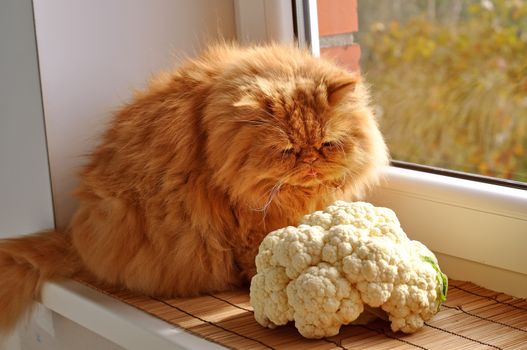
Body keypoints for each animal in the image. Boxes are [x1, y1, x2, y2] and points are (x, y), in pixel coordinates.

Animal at [0, 42, 388, 332]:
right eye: (286, 151)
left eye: (327, 145)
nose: (309, 162)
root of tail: (76, 237)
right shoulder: (248, 222)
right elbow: (259, 258)